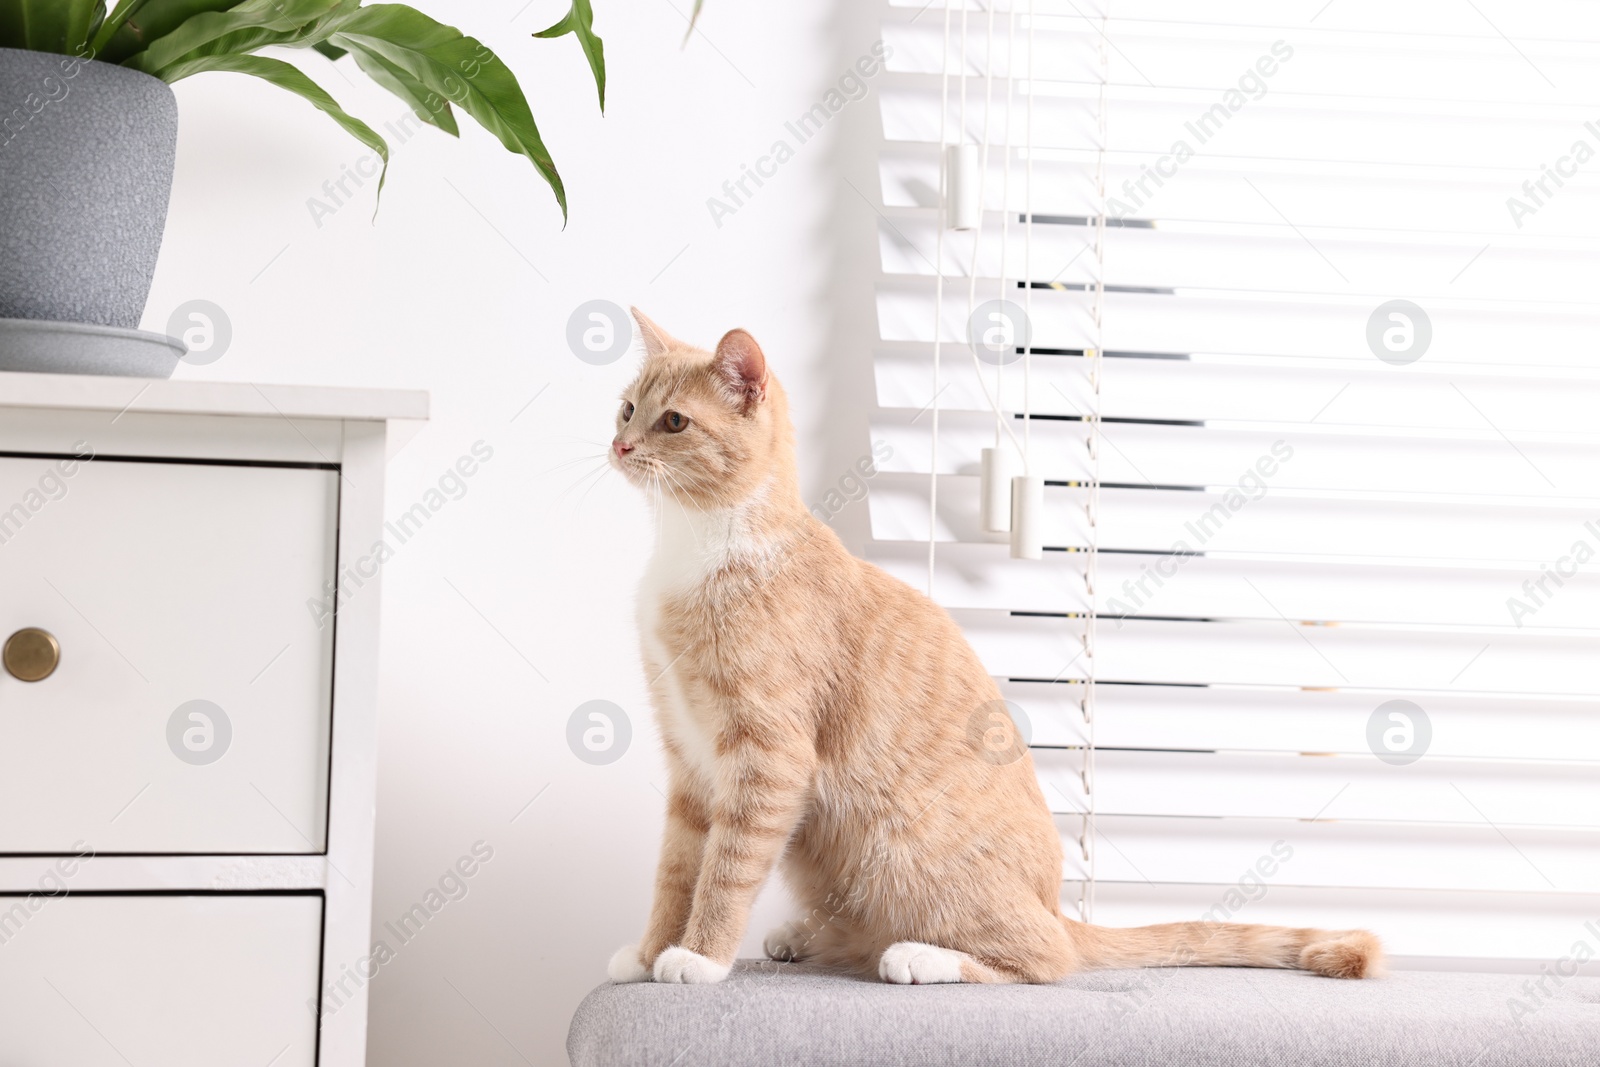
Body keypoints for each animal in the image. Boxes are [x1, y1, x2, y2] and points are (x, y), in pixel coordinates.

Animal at [604, 313, 1382, 991]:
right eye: (627, 409)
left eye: (673, 422)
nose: (621, 447)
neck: (697, 549)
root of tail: (1056, 903)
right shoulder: (690, 762)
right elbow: (677, 871)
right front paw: (648, 951)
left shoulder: (768, 756)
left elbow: (726, 870)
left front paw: (699, 957)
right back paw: (811, 936)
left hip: (905, 849)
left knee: (1046, 957)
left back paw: (920, 956)